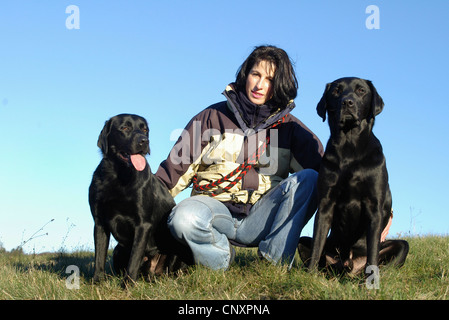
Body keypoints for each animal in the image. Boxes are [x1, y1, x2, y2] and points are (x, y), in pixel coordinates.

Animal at [88, 114, 192, 284]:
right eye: (125, 128)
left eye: (145, 130)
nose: (144, 141)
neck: (119, 176)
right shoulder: (99, 222)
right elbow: (99, 257)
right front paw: (96, 282)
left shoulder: (143, 224)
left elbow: (134, 258)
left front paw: (127, 285)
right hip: (118, 250)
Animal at [300, 77, 408, 276]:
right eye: (336, 91)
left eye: (361, 90)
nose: (347, 102)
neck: (349, 148)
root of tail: (348, 266)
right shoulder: (326, 203)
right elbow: (317, 244)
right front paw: (309, 276)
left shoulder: (374, 207)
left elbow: (373, 250)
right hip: (306, 241)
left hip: (402, 246)